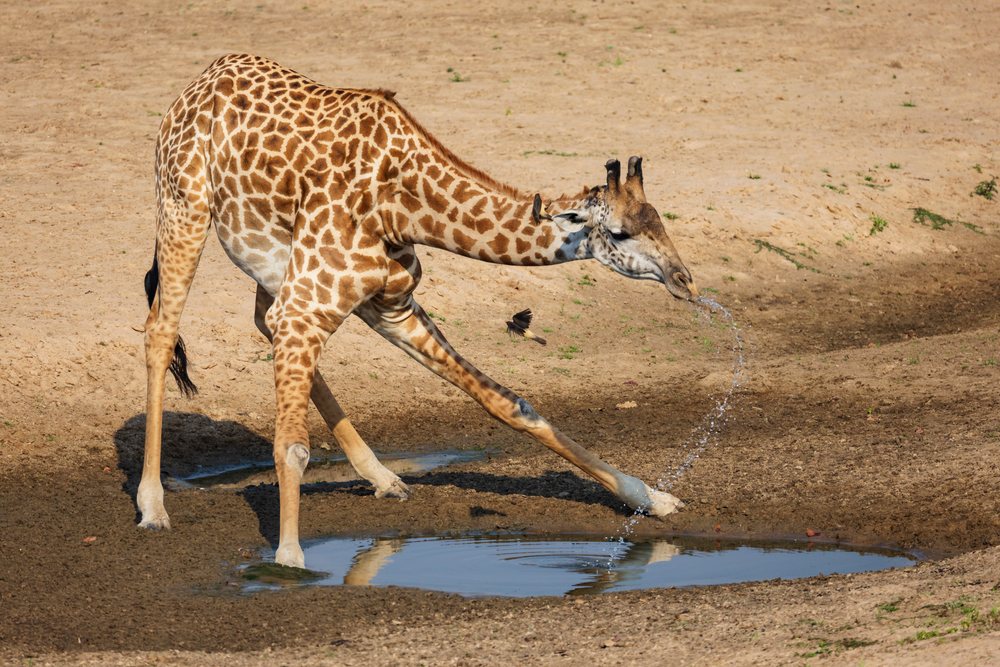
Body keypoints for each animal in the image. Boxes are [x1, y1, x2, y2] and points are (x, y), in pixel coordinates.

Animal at [139, 54, 699, 568]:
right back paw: (153, 506)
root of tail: (205, 76)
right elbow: (292, 446)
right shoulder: (309, 307)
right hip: (184, 208)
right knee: (161, 331)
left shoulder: (390, 306)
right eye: (621, 233)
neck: (402, 206)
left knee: (259, 321)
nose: (685, 281)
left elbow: (511, 404)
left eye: (660, 221)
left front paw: (653, 498)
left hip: (278, 270)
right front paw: (289, 561)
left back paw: (385, 478)